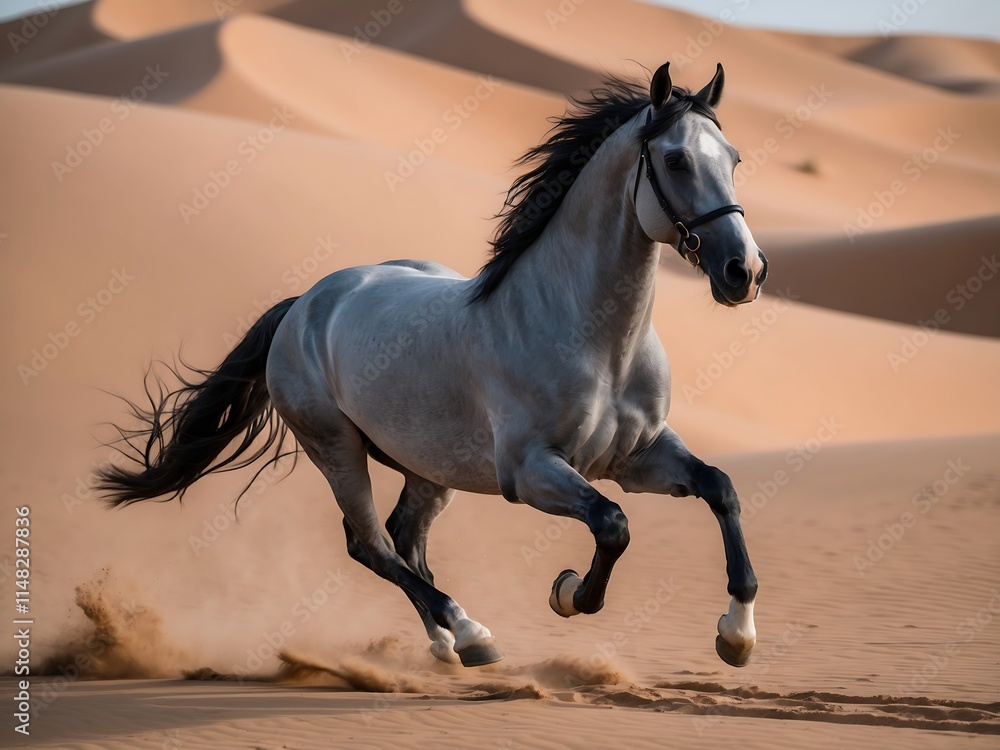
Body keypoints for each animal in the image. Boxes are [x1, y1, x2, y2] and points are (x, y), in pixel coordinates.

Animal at [99, 62, 767, 669]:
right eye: (676, 161)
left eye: (734, 159)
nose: (746, 271)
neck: (597, 341)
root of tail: (305, 303)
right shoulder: (531, 472)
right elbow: (612, 525)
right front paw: (568, 593)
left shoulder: (637, 455)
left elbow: (719, 488)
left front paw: (736, 636)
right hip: (336, 449)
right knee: (371, 545)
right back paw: (471, 634)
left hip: (428, 465)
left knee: (404, 538)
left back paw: (446, 644)